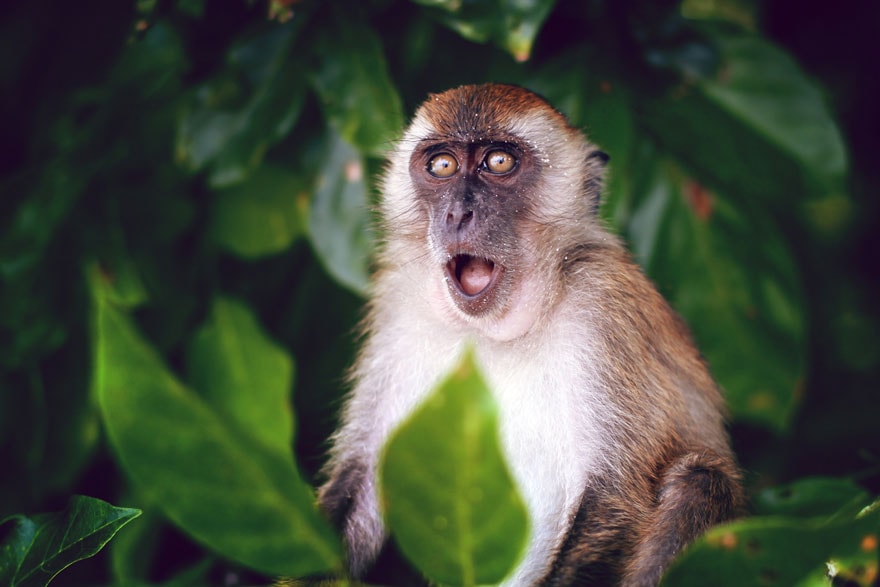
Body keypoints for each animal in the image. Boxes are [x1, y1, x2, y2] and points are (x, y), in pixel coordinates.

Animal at [316, 83, 743, 586]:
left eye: (498, 161)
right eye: (442, 166)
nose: (458, 212)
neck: (494, 331)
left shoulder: (602, 304)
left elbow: (615, 494)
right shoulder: (399, 304)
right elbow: (364, 480)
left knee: (699, 480)